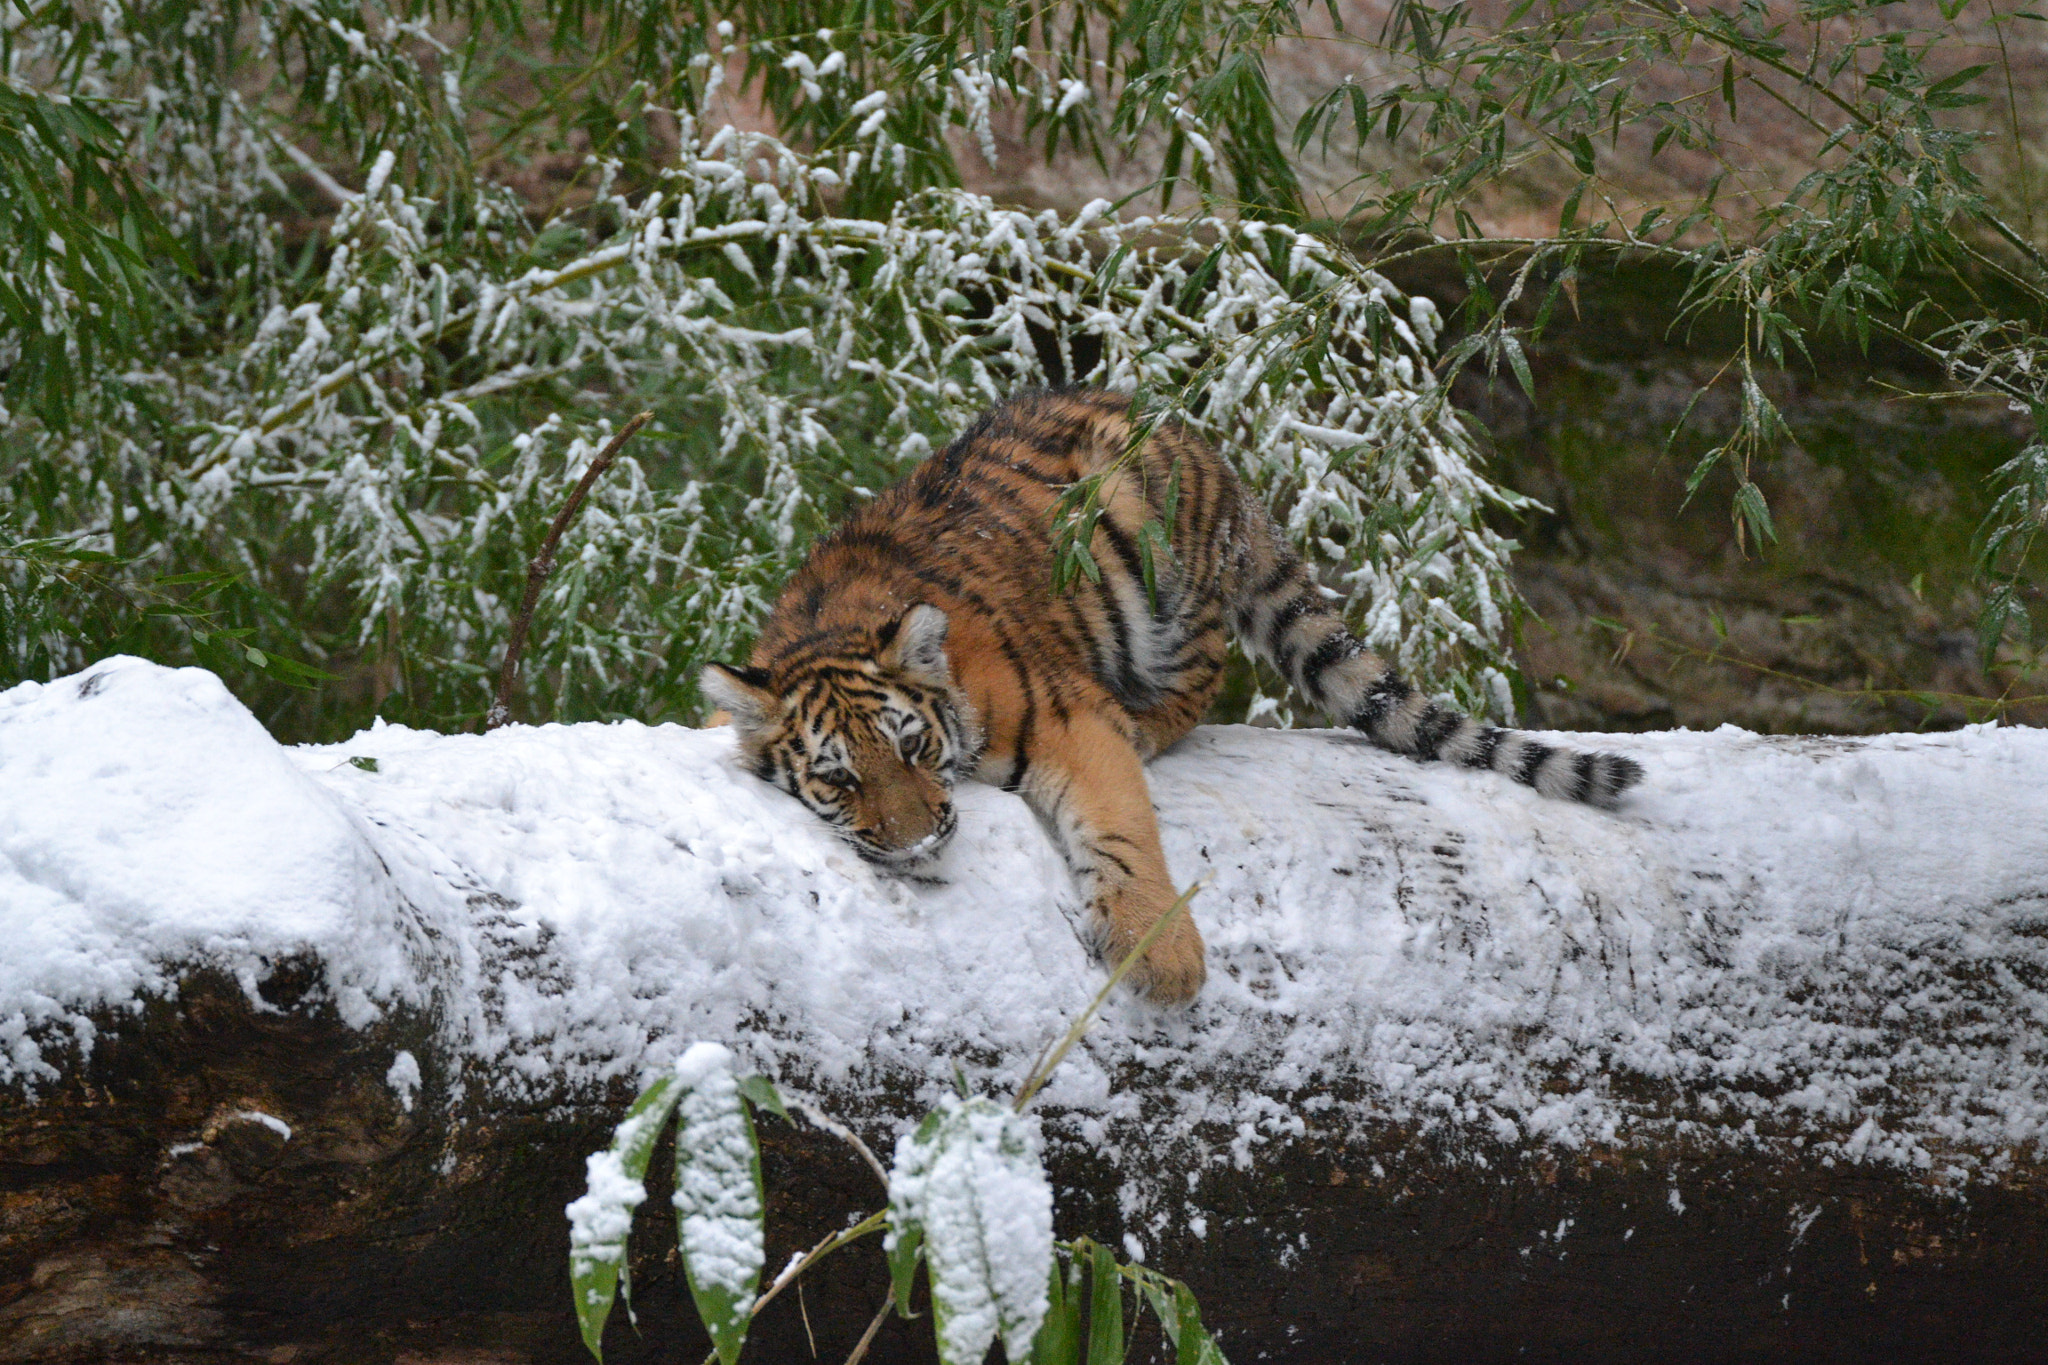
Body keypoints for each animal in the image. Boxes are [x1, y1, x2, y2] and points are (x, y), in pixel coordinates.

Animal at [703, 388, 1643, 1004]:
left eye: (912, 746)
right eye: (840, 777)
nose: (920, 837)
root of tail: (1202, 446)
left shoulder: (1065, 718)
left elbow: (1121, 830)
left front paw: (1164, 959)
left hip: (1151, 552)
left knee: (1206, 669)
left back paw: (1145, 716)